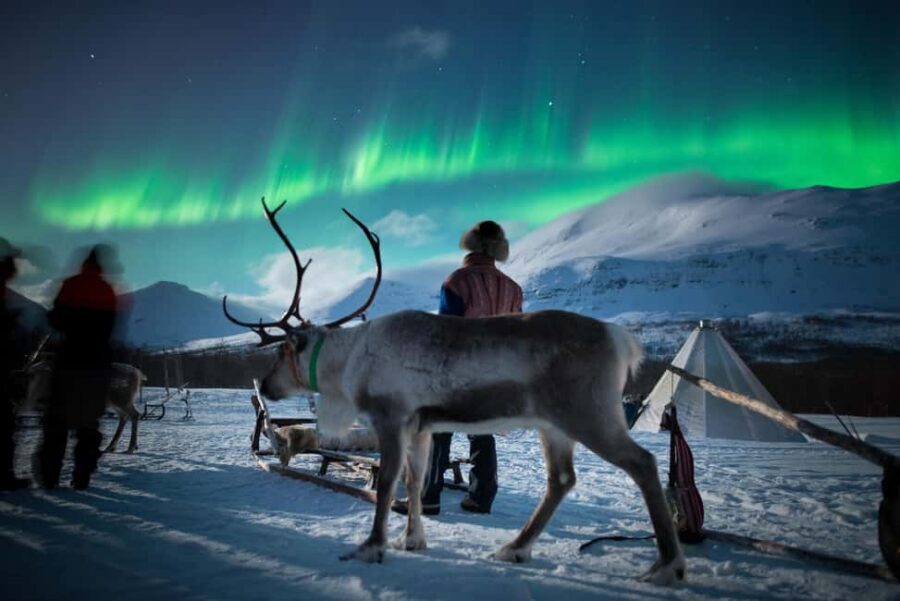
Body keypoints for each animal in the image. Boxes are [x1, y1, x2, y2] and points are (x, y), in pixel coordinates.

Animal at [224, 198, 685, 585]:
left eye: (281, 351)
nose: (266, 386)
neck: (349, 361)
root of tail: (620, 339)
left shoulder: (391, 416)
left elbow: (388, 482)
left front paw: (372, 547)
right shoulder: (422, 426)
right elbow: (415, 480)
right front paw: (412, 540)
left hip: (589, 414)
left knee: (642, 463)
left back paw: (667, 565)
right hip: (553, 425)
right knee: (562, 479)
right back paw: (514, 548)